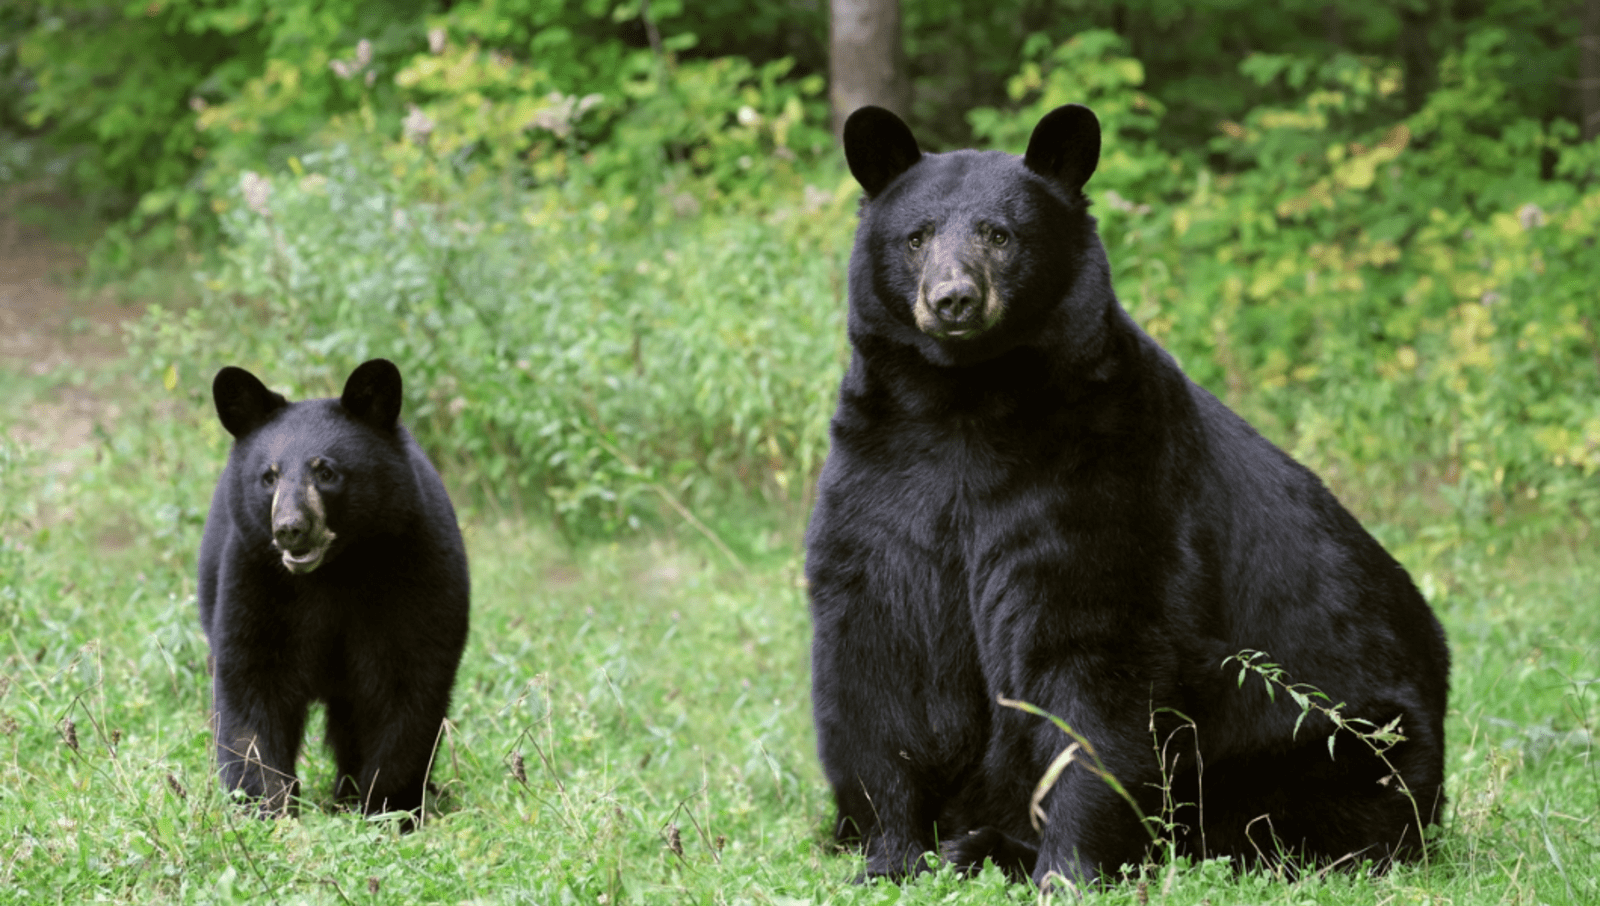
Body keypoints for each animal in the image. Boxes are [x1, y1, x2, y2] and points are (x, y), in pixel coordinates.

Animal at [196, 360, 467, 825]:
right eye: (268, 477)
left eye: (326, 472)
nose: (289, 528)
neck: (333, 573)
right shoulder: (254, 579)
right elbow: (251, 685)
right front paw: (265, 806)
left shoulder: (417, 571)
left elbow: (408, 686)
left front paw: (387, 808)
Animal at [806, 108, 1459, 896]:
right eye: (917, 235)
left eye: (1001, 234)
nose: (954, 299)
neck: (964, 402)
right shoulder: (881, 477)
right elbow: (878, 661)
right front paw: (890, 854)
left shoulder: (1111, 474)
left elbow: (1096, 666)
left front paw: (1067, 868)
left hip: (1338, 738)